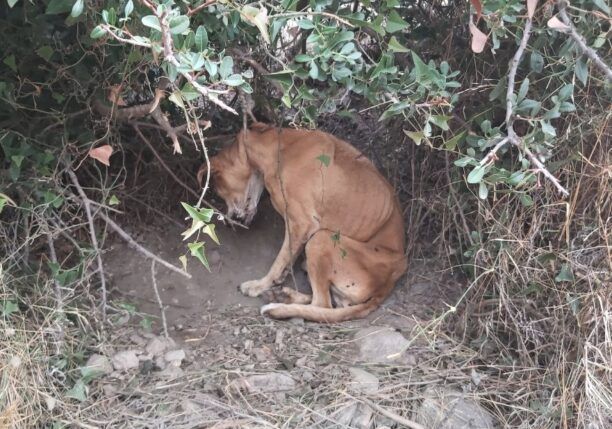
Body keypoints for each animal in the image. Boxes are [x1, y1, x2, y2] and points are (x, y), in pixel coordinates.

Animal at [200, 122, 406, 320]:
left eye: (219, 190)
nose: (230, 221)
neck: (278, 148)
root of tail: (387, 284)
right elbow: (289, 257)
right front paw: (277, 280)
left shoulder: (302, 223)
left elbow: (279, 260)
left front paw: (259, 285)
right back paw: (283, 295)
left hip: (321, 239)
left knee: (322, 305)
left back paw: (279, 305)